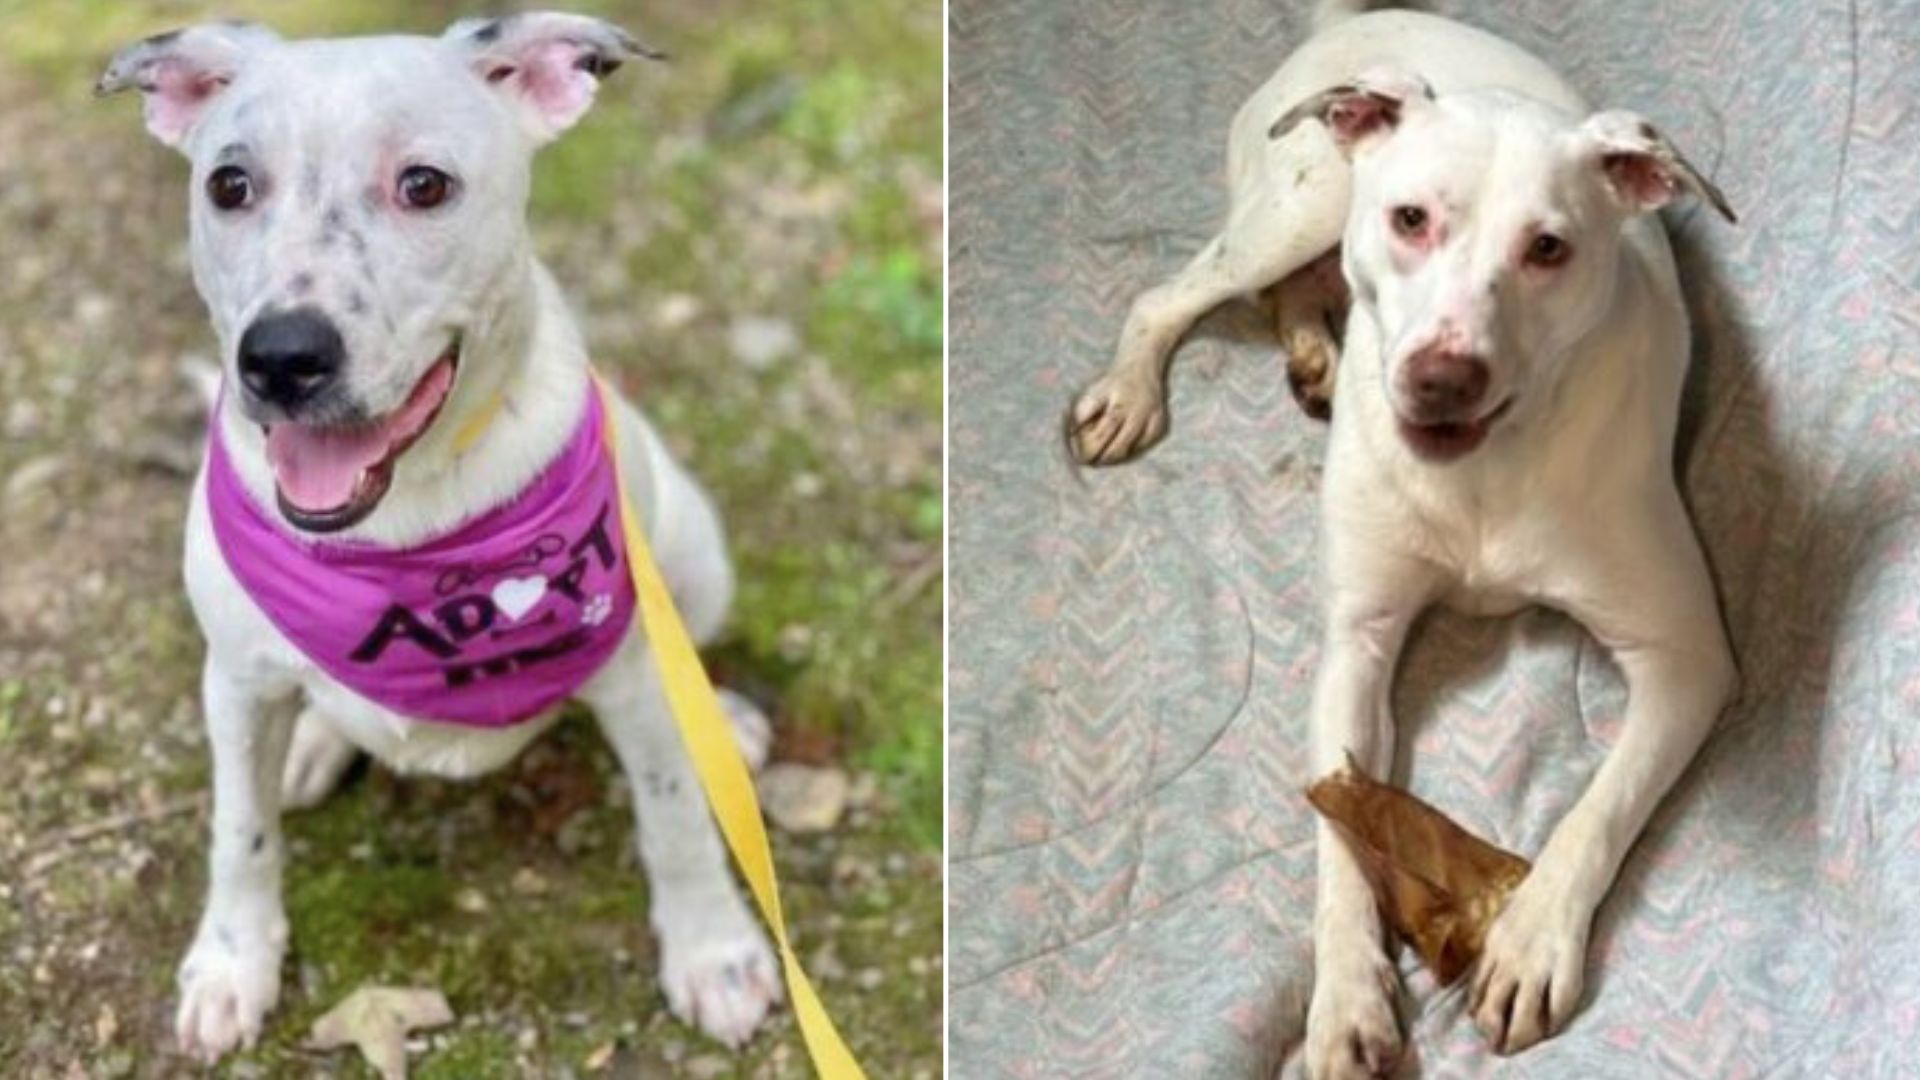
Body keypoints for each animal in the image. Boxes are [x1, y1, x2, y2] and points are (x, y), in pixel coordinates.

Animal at [93, 12, 783, 1060]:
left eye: (424, 184)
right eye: (229, 185)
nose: (281, 359)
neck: (408, 529)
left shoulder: (633, 670)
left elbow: (674, 817)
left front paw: (714, 952)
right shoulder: (238, 682)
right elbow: (240, 832)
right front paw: (232, 962)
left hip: (697, 553)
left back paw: (731, 723)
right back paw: (311, 747)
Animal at [1067, 2, 1743, 1076]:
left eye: (1549, 248)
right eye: (1412, 219)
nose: (1441, 379)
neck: (1484, 472)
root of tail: (1368, 20)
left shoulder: (1686, 660)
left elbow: (1600, 807)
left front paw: (1530, 940)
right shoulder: (1359, 644)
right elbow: (1342, 840)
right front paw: (1345, 998)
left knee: (1284, 295)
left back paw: (1313, 354)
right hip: (1295, 208)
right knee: (1179, 294)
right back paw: (1138, 389)